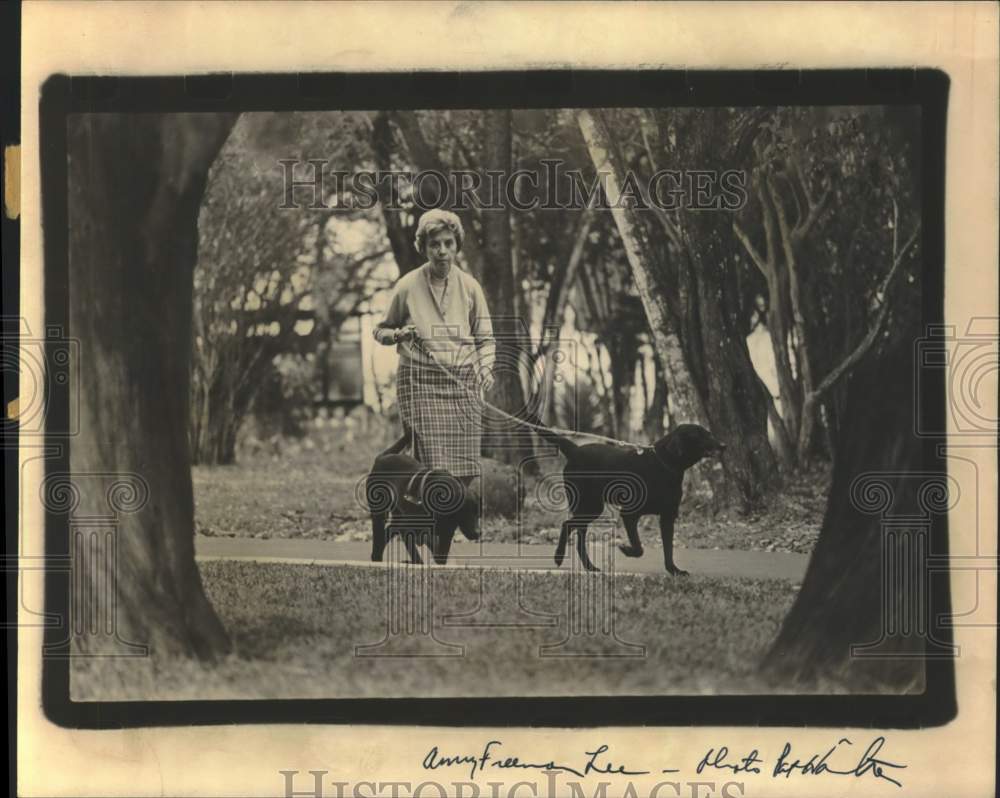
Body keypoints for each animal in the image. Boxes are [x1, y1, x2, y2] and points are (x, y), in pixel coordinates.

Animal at [364, 432, 480, 568]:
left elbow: (440, 555)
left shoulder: (446, 534)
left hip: (398, 516)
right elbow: (418, 555)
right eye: (465, 512)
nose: (478, 533)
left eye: (478, 514)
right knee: (379, 535)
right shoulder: (406, 529)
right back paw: (377, 559)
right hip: (380, 513)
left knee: (387, 533)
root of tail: (381, 457)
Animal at [536, 418, 724, 576]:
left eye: (709, 433)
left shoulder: (667, 517)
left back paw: (590, 567)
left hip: (590, 508)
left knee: (578, 534)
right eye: (701, 435)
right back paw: (559, 557)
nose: (724, 445)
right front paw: (625, 549)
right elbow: (639, 548)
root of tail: (574, 450)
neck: (664, 464)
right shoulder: (629, 514)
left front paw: (674, 570)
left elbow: (668, 549)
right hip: (590, 506)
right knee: (567, 525)